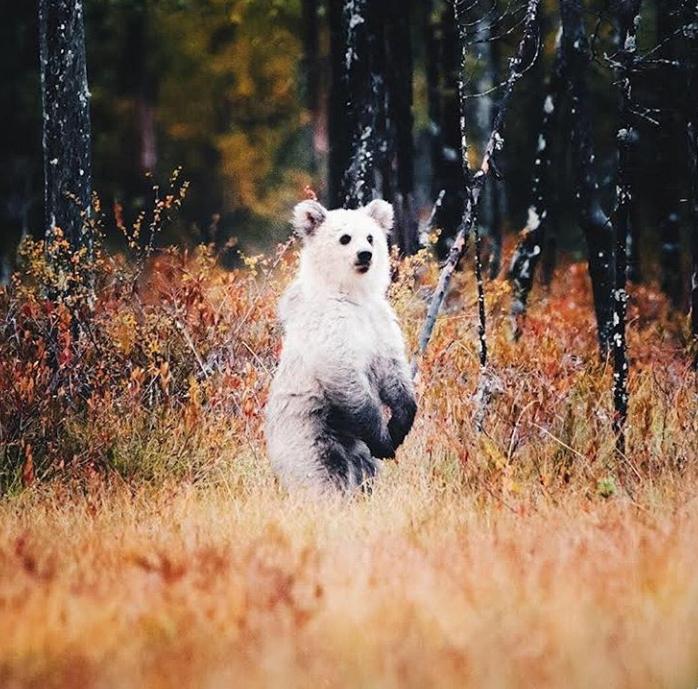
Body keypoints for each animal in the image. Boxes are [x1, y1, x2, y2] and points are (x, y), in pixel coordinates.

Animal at [264, 196, 416, 492]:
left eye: (370, 237)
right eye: (345, 238)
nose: (365, 255)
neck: (353, 295)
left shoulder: (378, 321)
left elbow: (394, 370)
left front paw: (398, 427)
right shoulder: (331, 326)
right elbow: (344, 373)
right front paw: (383, 440)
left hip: (353, 450)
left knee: (366, 470)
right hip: (308, 431)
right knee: (321, 474)